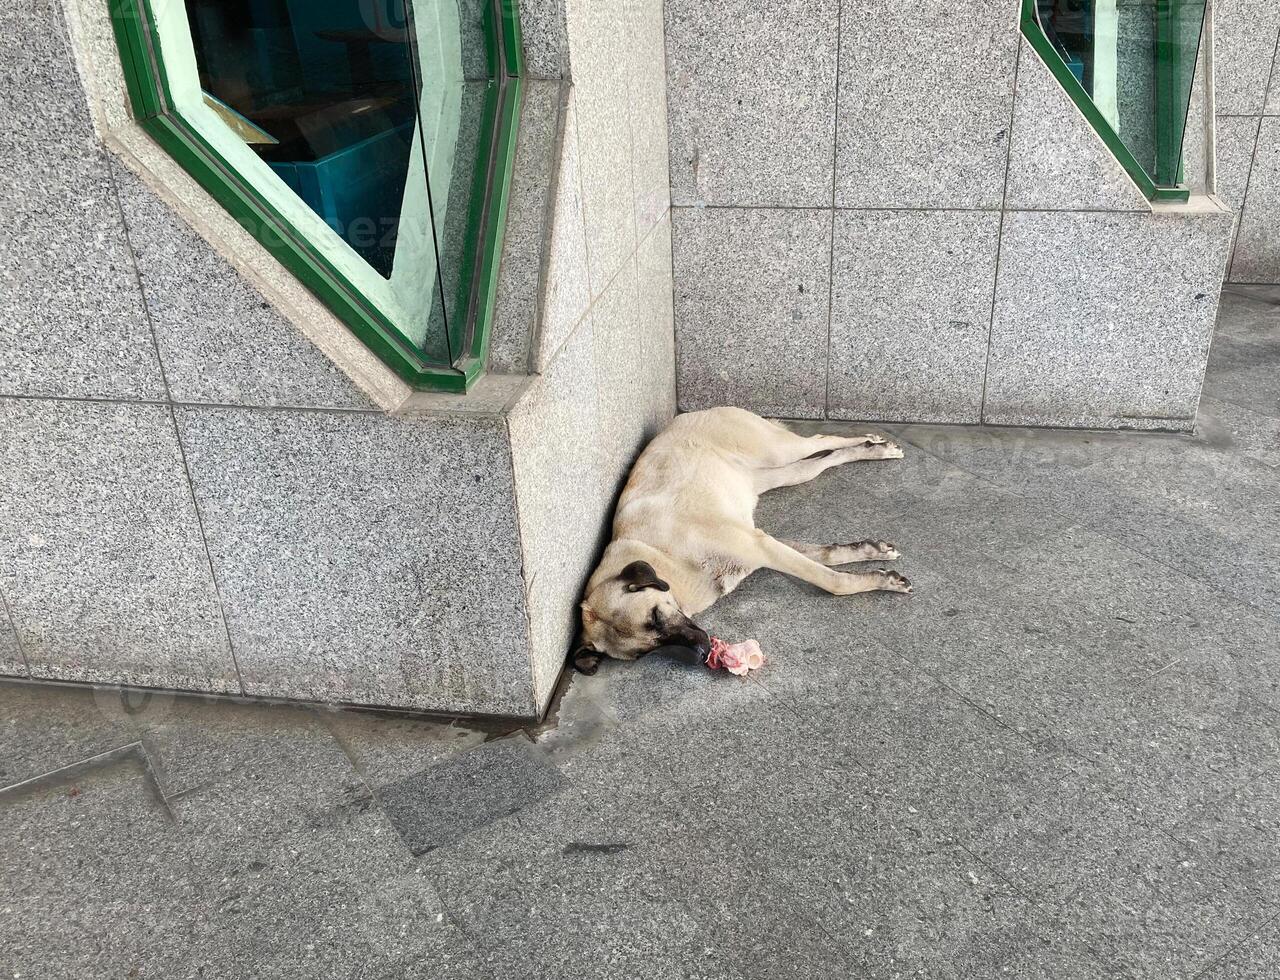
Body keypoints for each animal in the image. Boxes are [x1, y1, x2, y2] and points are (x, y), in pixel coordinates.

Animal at [570, 406, 911, 675]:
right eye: (644, 653)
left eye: (654, 617)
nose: (702, 652)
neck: (664, 557)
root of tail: (691, 413)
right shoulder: (761, 546)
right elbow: (827, 556)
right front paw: (872, 553)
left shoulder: (759, 546)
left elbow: (833, 581)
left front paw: (879, 581)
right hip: (780, 474)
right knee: (822, 459)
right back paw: (869, 449)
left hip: (776, 449)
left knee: (821, 441)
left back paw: (874, 445)